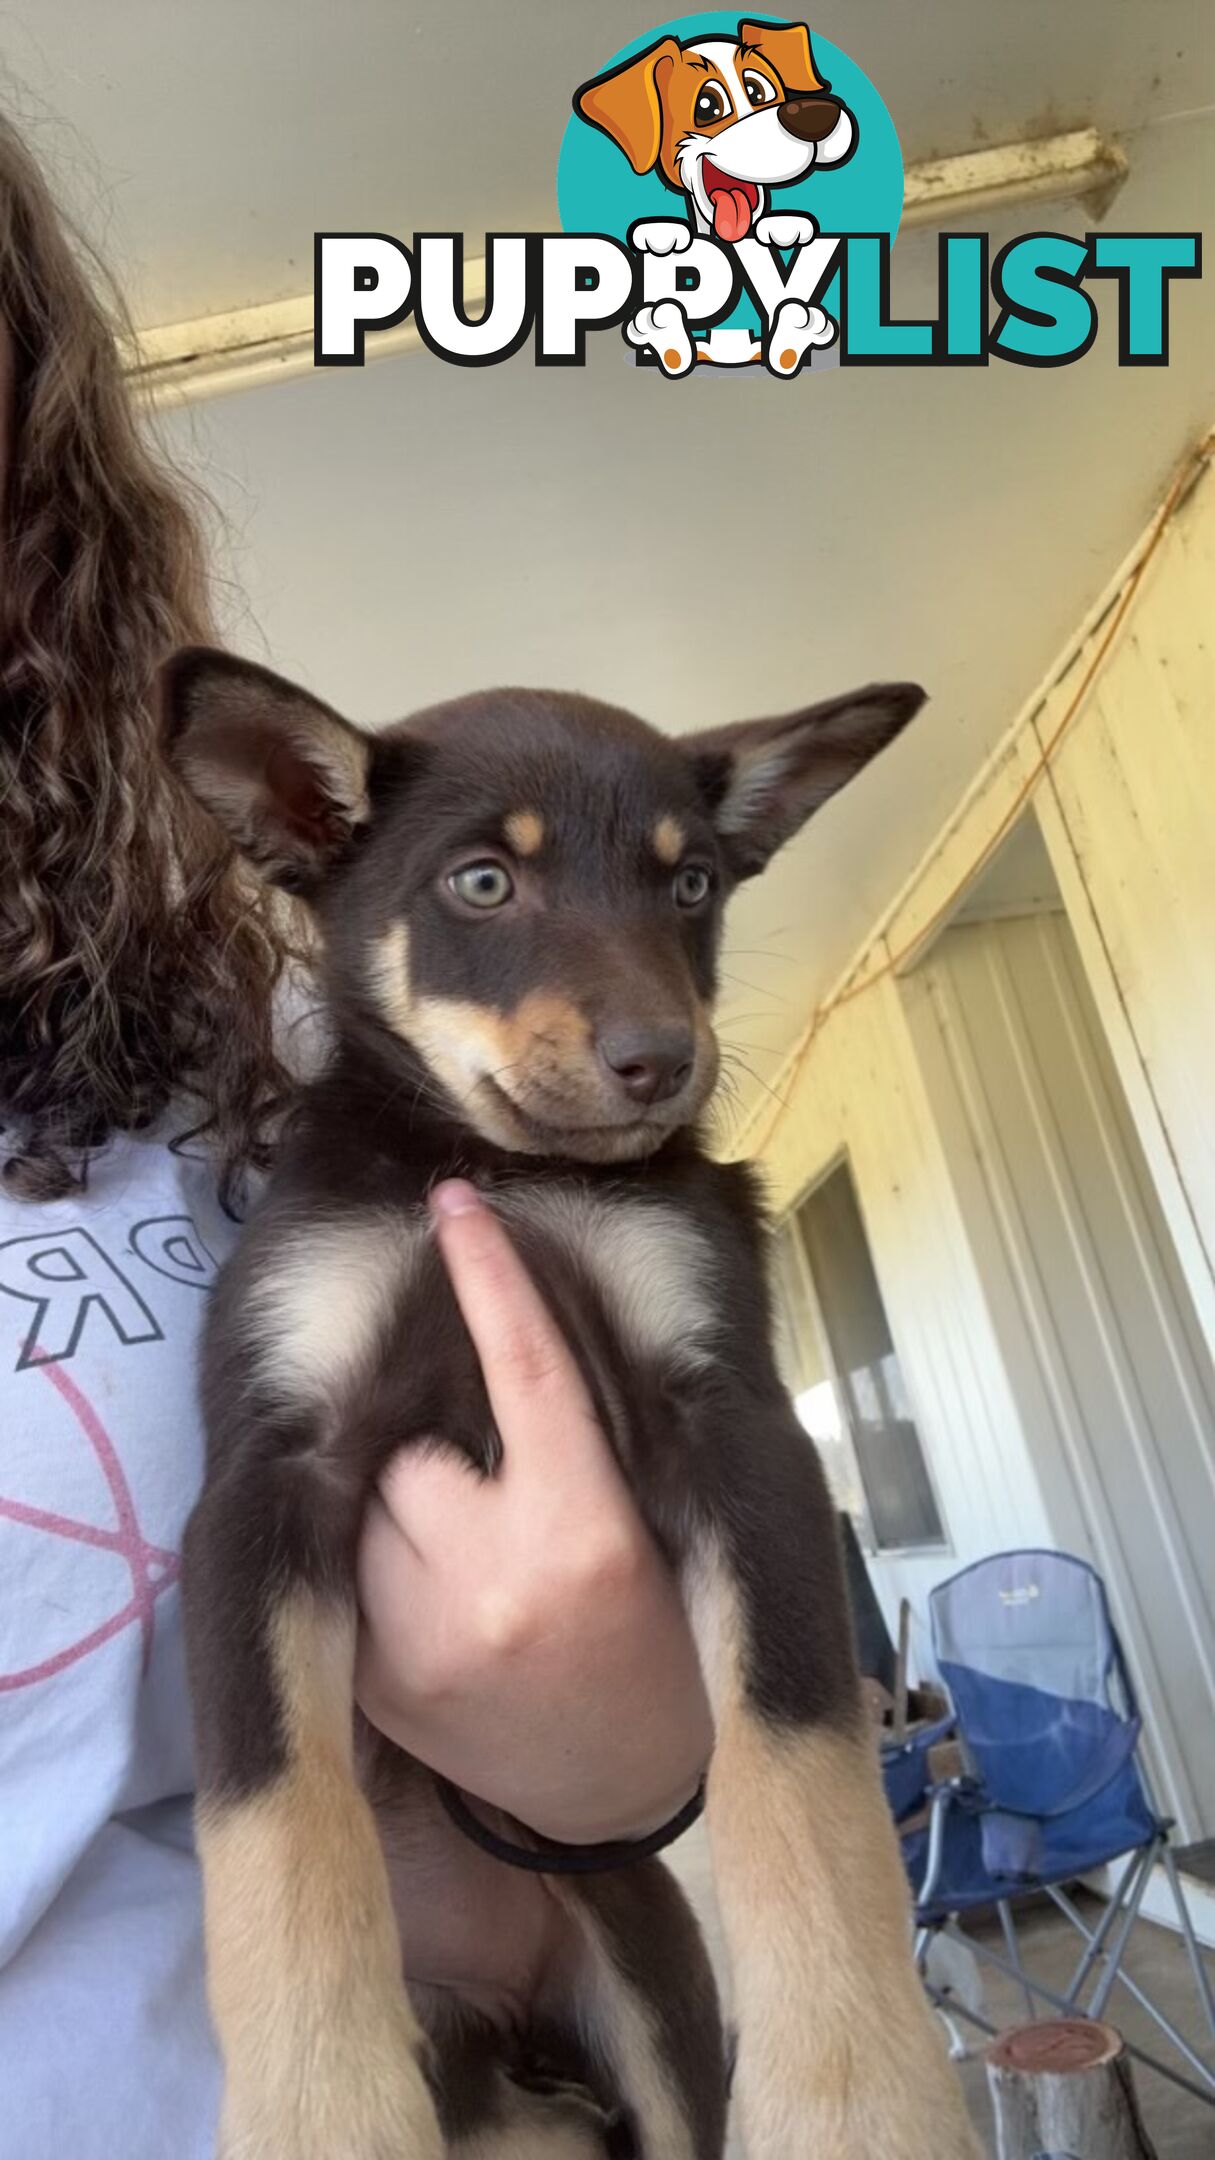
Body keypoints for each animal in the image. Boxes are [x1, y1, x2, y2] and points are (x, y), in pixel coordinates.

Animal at [161, 656, 977, 2160]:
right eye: (483, 884)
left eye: (692, 884)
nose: (664, 1062)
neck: (494, 1166)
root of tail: (503, 2031)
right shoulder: (264, 1479)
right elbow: (275, 1830)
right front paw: (323, 2115)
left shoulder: (735, 1426)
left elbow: (800, 1773)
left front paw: (855, 2101)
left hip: (641, 1973)